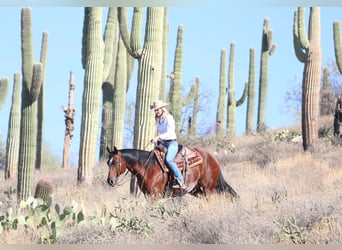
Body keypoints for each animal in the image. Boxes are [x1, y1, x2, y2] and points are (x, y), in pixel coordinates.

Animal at [106, 146, 238, 200]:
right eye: (108, 162)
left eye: (116, 162)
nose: (110, 181)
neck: (147, 167)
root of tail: (213, 159)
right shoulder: (148, 195)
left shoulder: (154, 195)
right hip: (196, 190)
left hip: (208, 189)